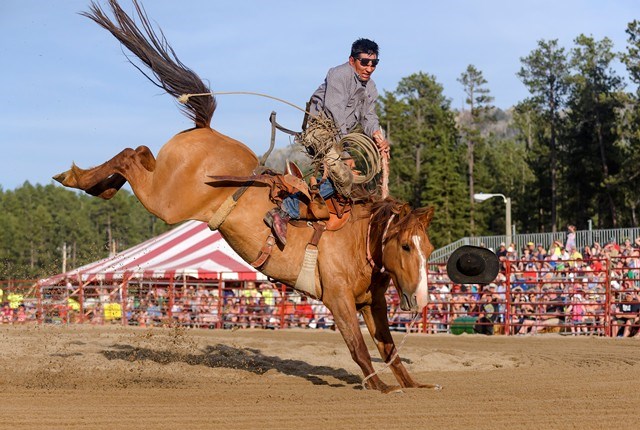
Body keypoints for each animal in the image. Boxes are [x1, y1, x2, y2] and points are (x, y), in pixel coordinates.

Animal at [53, 0, 440, 394]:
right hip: (166, 201)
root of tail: (206, 131)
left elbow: (389, 348)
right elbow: (359, 347)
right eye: (405, 246)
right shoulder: (339, 300)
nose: (422, 300)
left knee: (141, 152)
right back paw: (76, 177)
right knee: (130, 156)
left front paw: (415, 385)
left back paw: (95, 183)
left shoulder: (373, 304)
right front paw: (381, 387)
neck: (360, 239)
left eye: (427, 248)